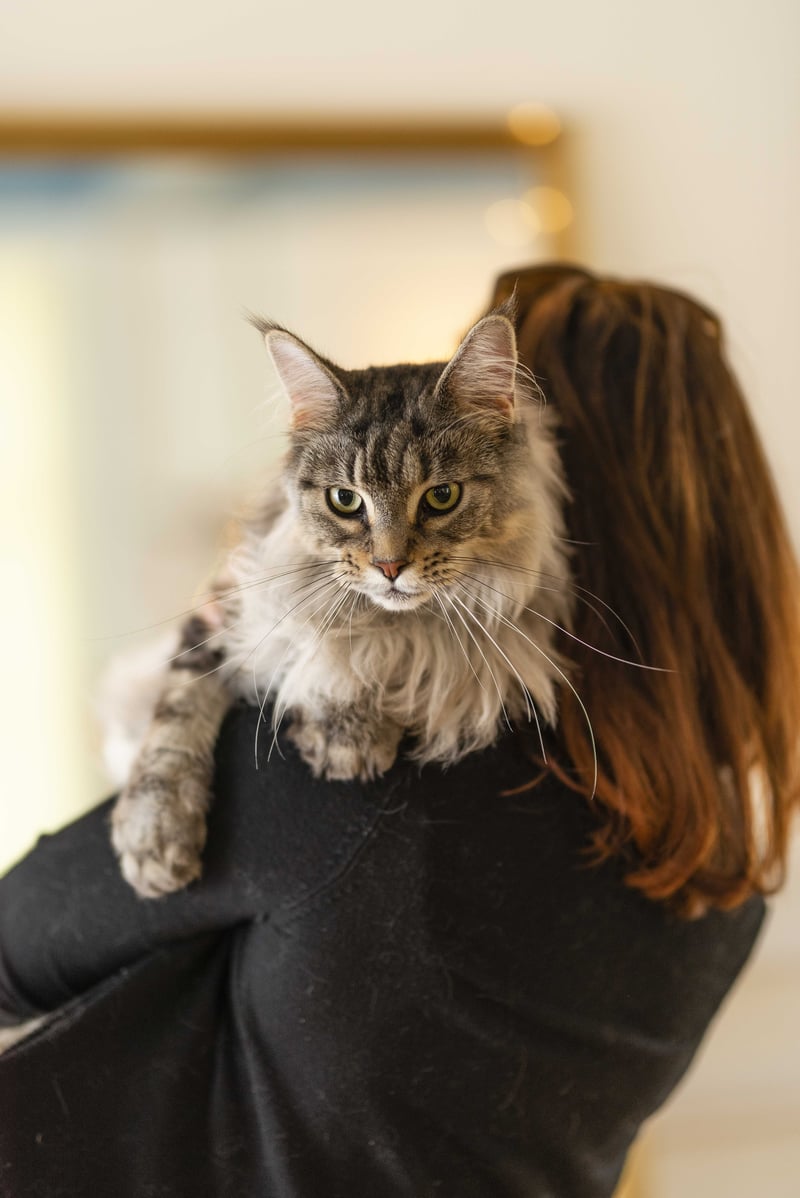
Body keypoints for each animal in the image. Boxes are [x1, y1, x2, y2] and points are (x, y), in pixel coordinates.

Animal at [113, 304, 574, 896]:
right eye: (344, 500)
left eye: (441, 496)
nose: (390, 567)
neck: (392, 625)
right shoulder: (225, 612)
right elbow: (175, 721)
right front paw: (154, 840)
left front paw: (347, 729)